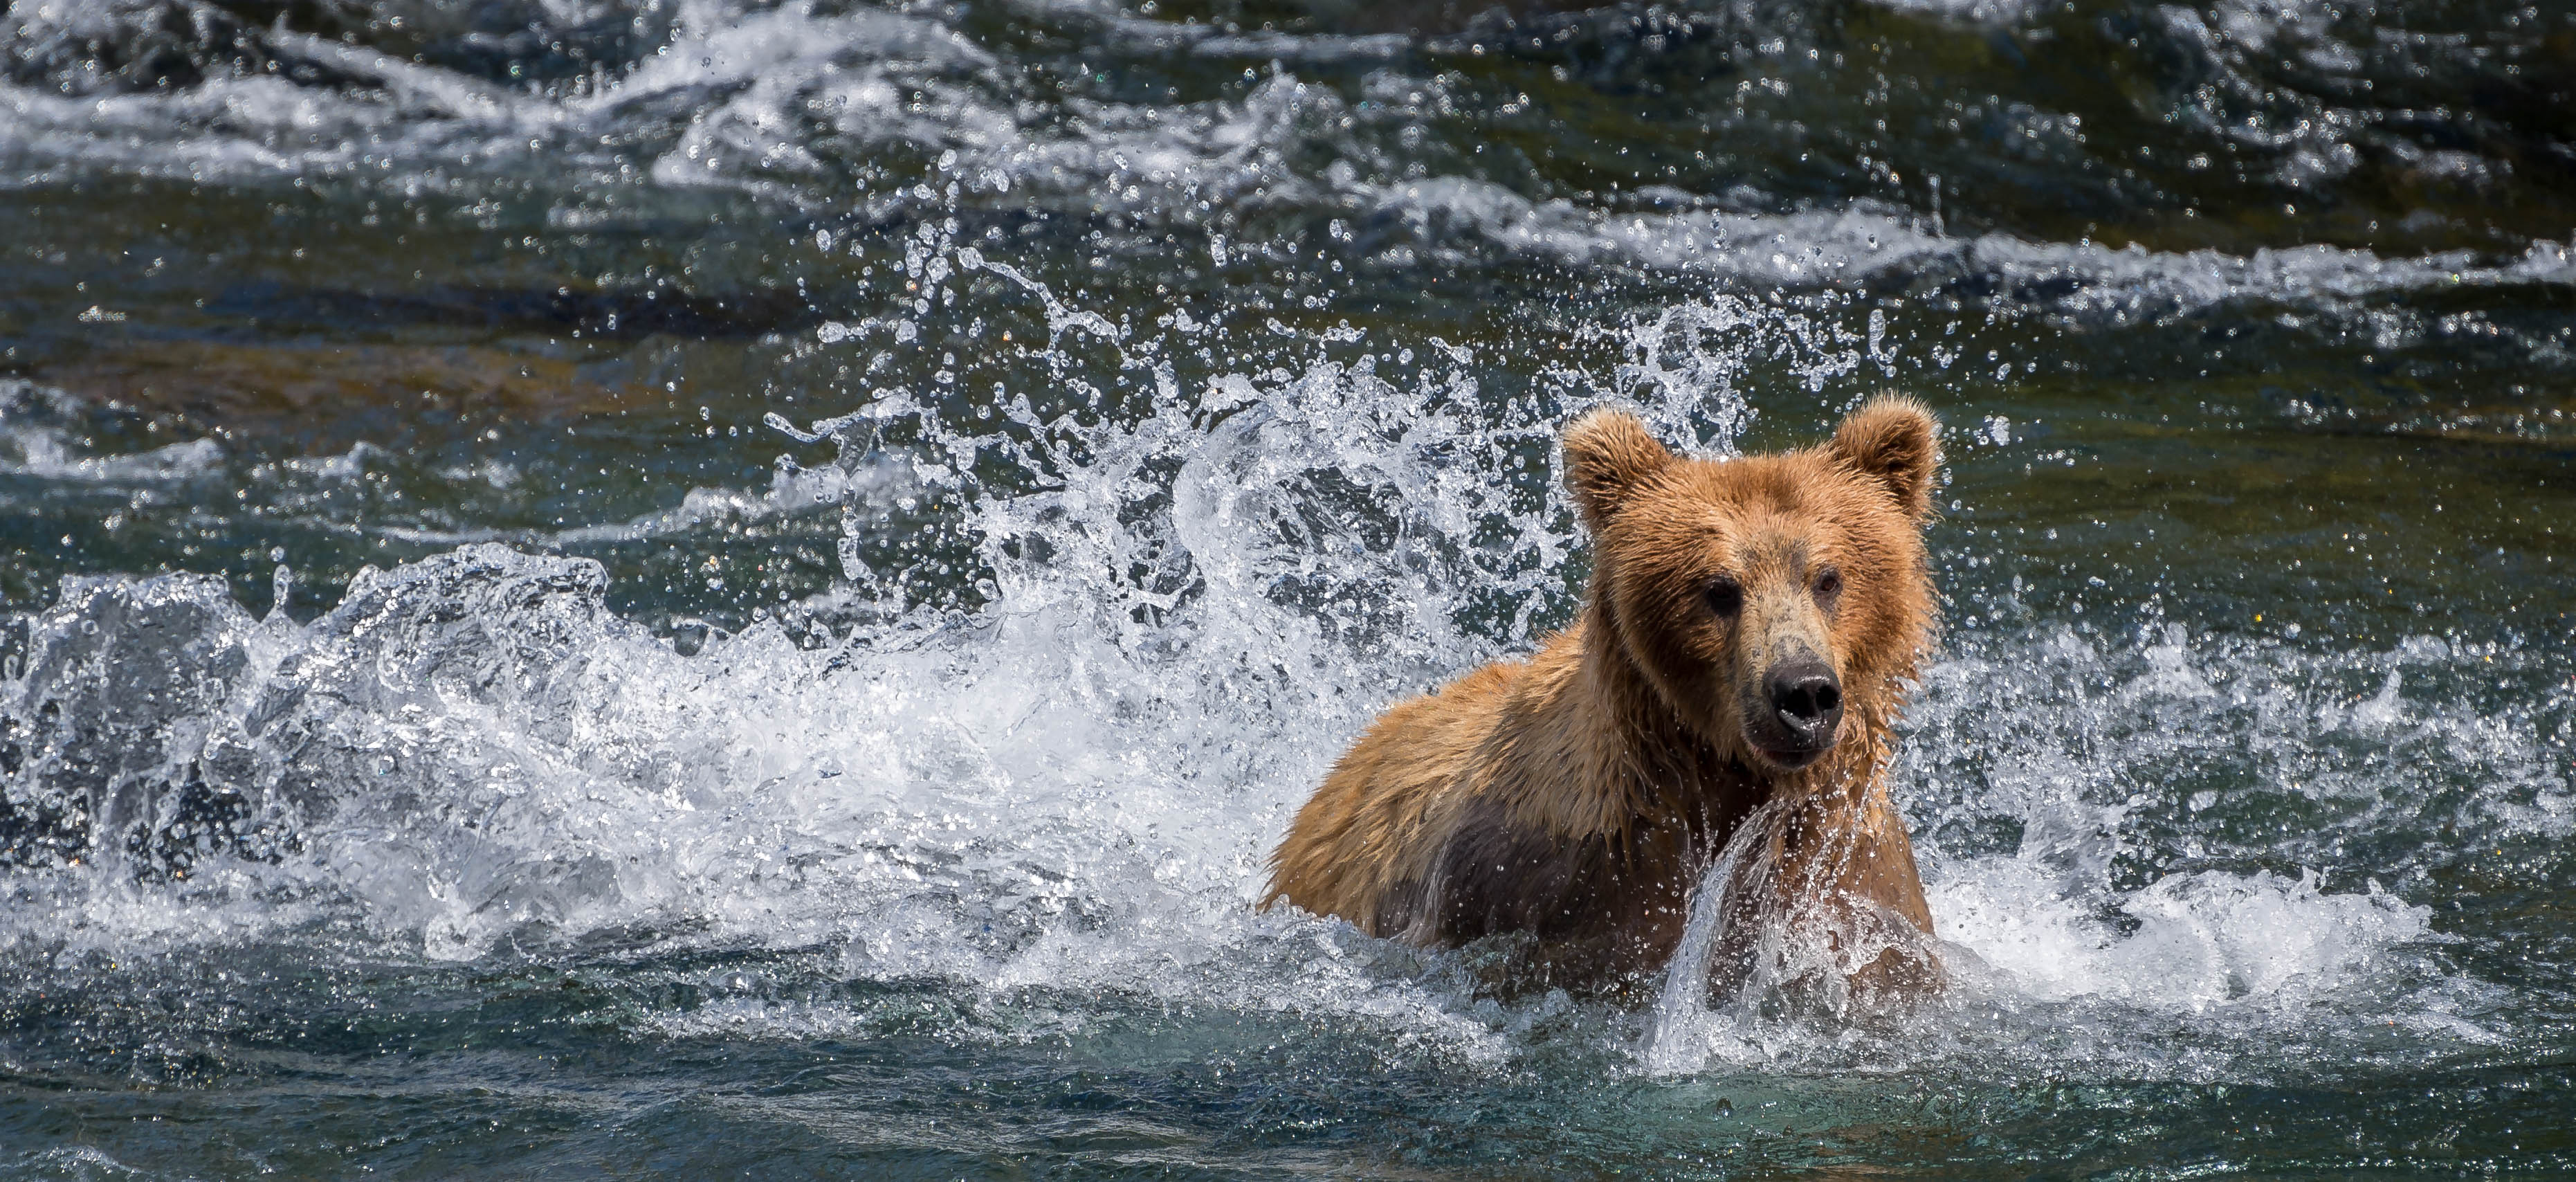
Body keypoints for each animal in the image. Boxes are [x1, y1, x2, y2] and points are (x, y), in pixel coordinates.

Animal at [1257, 399, 1937, 999]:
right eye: (1718, 588)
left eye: (1827, 577)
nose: (1801, 691)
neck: (1722, 783)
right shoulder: (1541, 882)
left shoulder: (1853, 890)